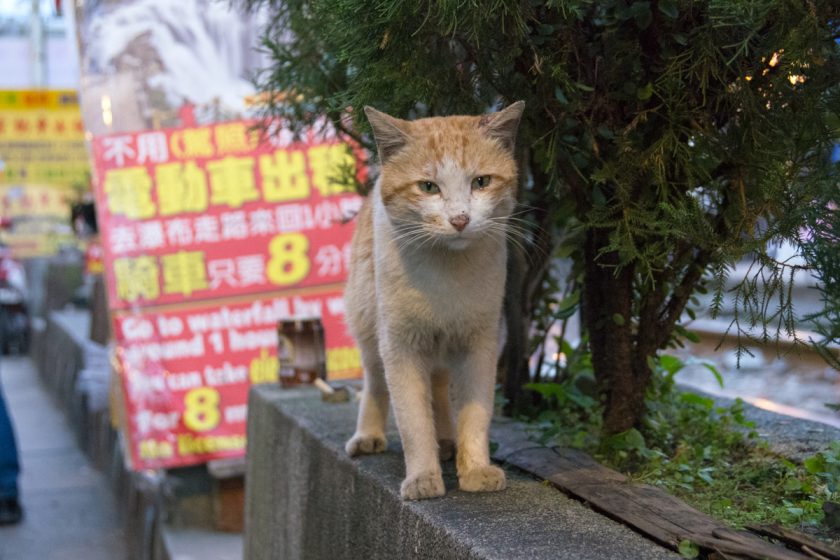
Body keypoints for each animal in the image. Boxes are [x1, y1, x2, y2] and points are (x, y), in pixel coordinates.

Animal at [344, 100, 520, 498]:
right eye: (428, 187)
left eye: (481, 182)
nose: (459, 219)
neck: (446, 276)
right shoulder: (400, 348)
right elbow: (412, 421)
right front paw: (423, 477)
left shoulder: (480, 345)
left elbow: (476, 414)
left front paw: (475, 469)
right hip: (367, 325)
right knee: (375, 381)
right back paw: (368, 435)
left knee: (438, 390)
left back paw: (447, 442)